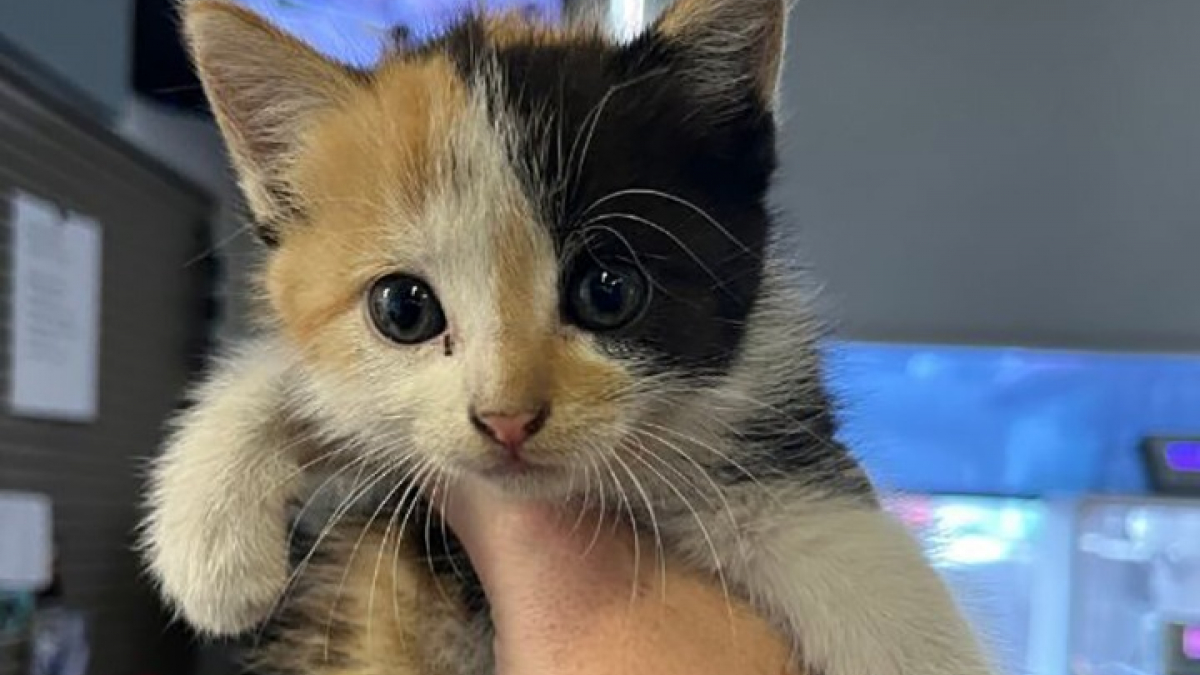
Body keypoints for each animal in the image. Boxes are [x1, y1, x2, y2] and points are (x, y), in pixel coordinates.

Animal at [145, 0, 998, 667]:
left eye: (608, 291)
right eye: (404, 309)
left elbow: (853, 550)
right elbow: (294, 374)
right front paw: (210, 542)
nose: (507, 417)